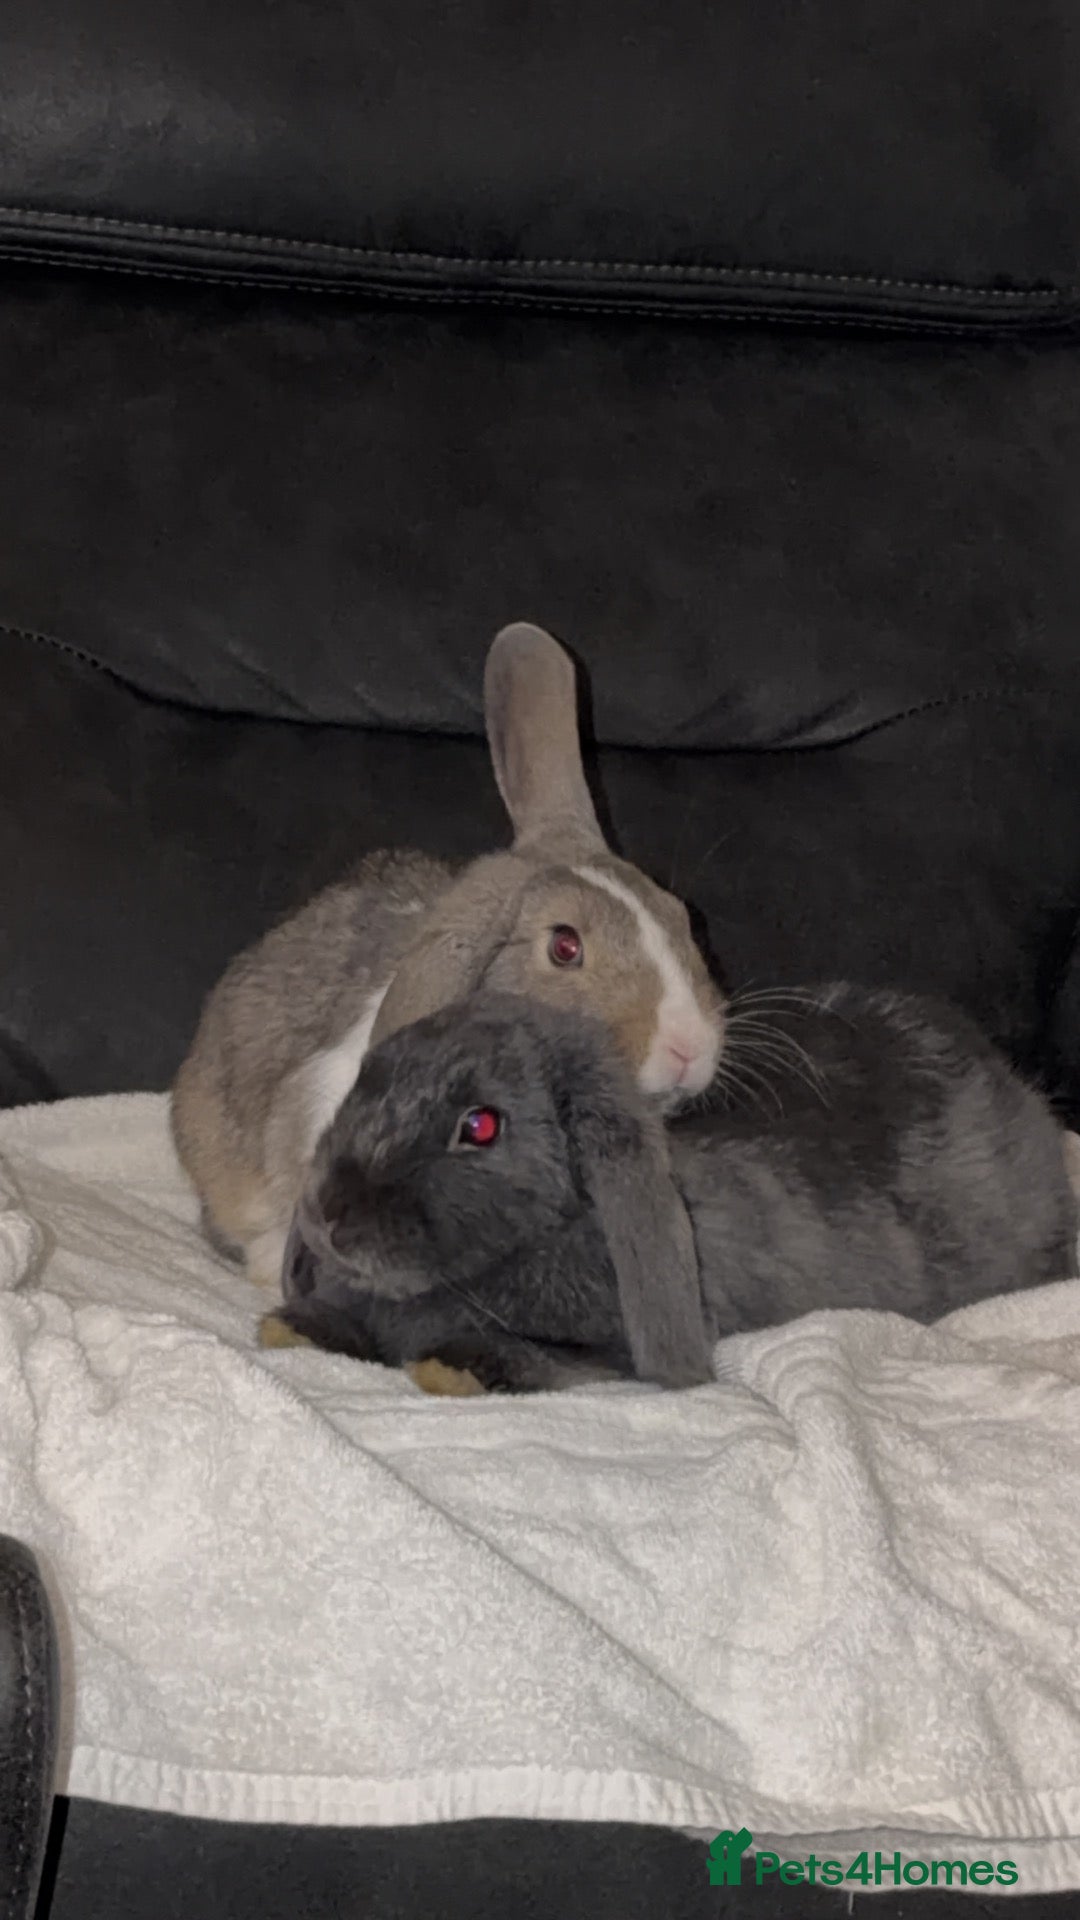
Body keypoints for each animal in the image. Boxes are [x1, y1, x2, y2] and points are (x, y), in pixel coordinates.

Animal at [260, 986, 1079, 1394]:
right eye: (364, 1083)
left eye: (481, 1126)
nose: (329, 1216)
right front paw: (292, 1325)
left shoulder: (606, 1351)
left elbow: (550, 1356)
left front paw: (455, 1366)